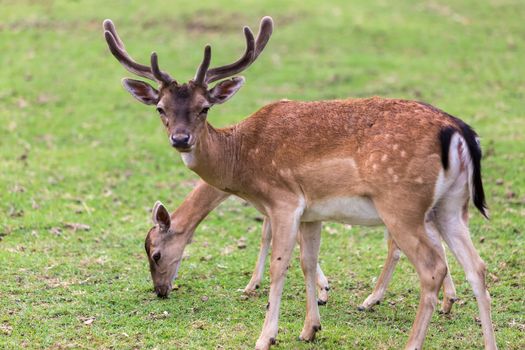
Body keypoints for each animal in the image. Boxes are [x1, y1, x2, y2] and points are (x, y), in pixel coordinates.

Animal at [102, 16, 496, 350]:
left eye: (204, 107)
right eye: (161, 109)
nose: (181, 139)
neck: (241, 161)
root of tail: (458, 131)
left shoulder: (284, 201)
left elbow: (281, 264)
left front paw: (266, 335)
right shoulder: (312, 213)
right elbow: (308, 261)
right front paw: (310, 328)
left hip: (402, 204)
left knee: (431, 267)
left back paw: (404, 330)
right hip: (451, 207)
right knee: (477, 267)